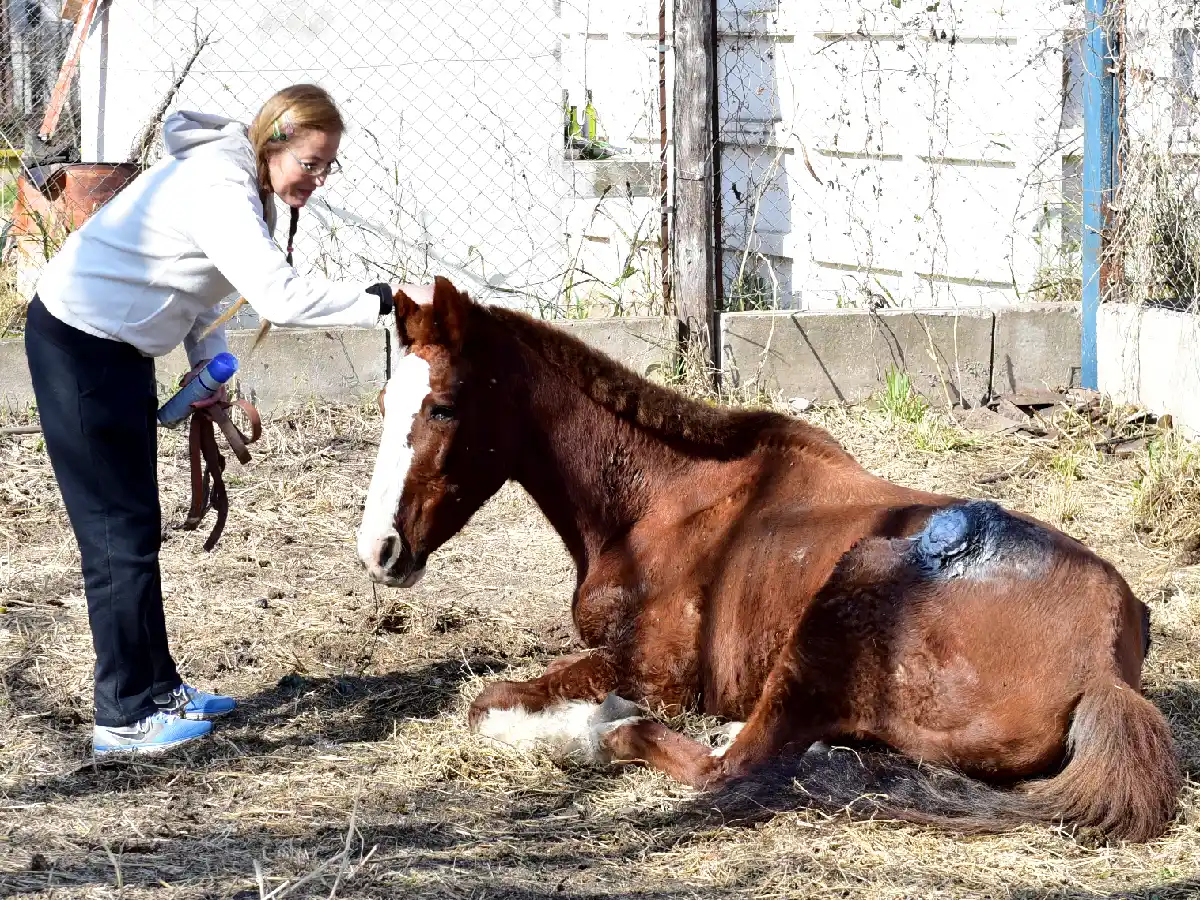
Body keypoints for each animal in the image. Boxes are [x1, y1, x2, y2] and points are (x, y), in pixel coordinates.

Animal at [355, 276, 1180, 843]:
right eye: (388, 402)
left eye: (443, 406)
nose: (379, 552)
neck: (662, 501)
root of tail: (1105, 669)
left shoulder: (654, 670)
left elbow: (487, 702)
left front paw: (570, 721)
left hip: (846, 596)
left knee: (725, 764)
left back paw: (606, 730)